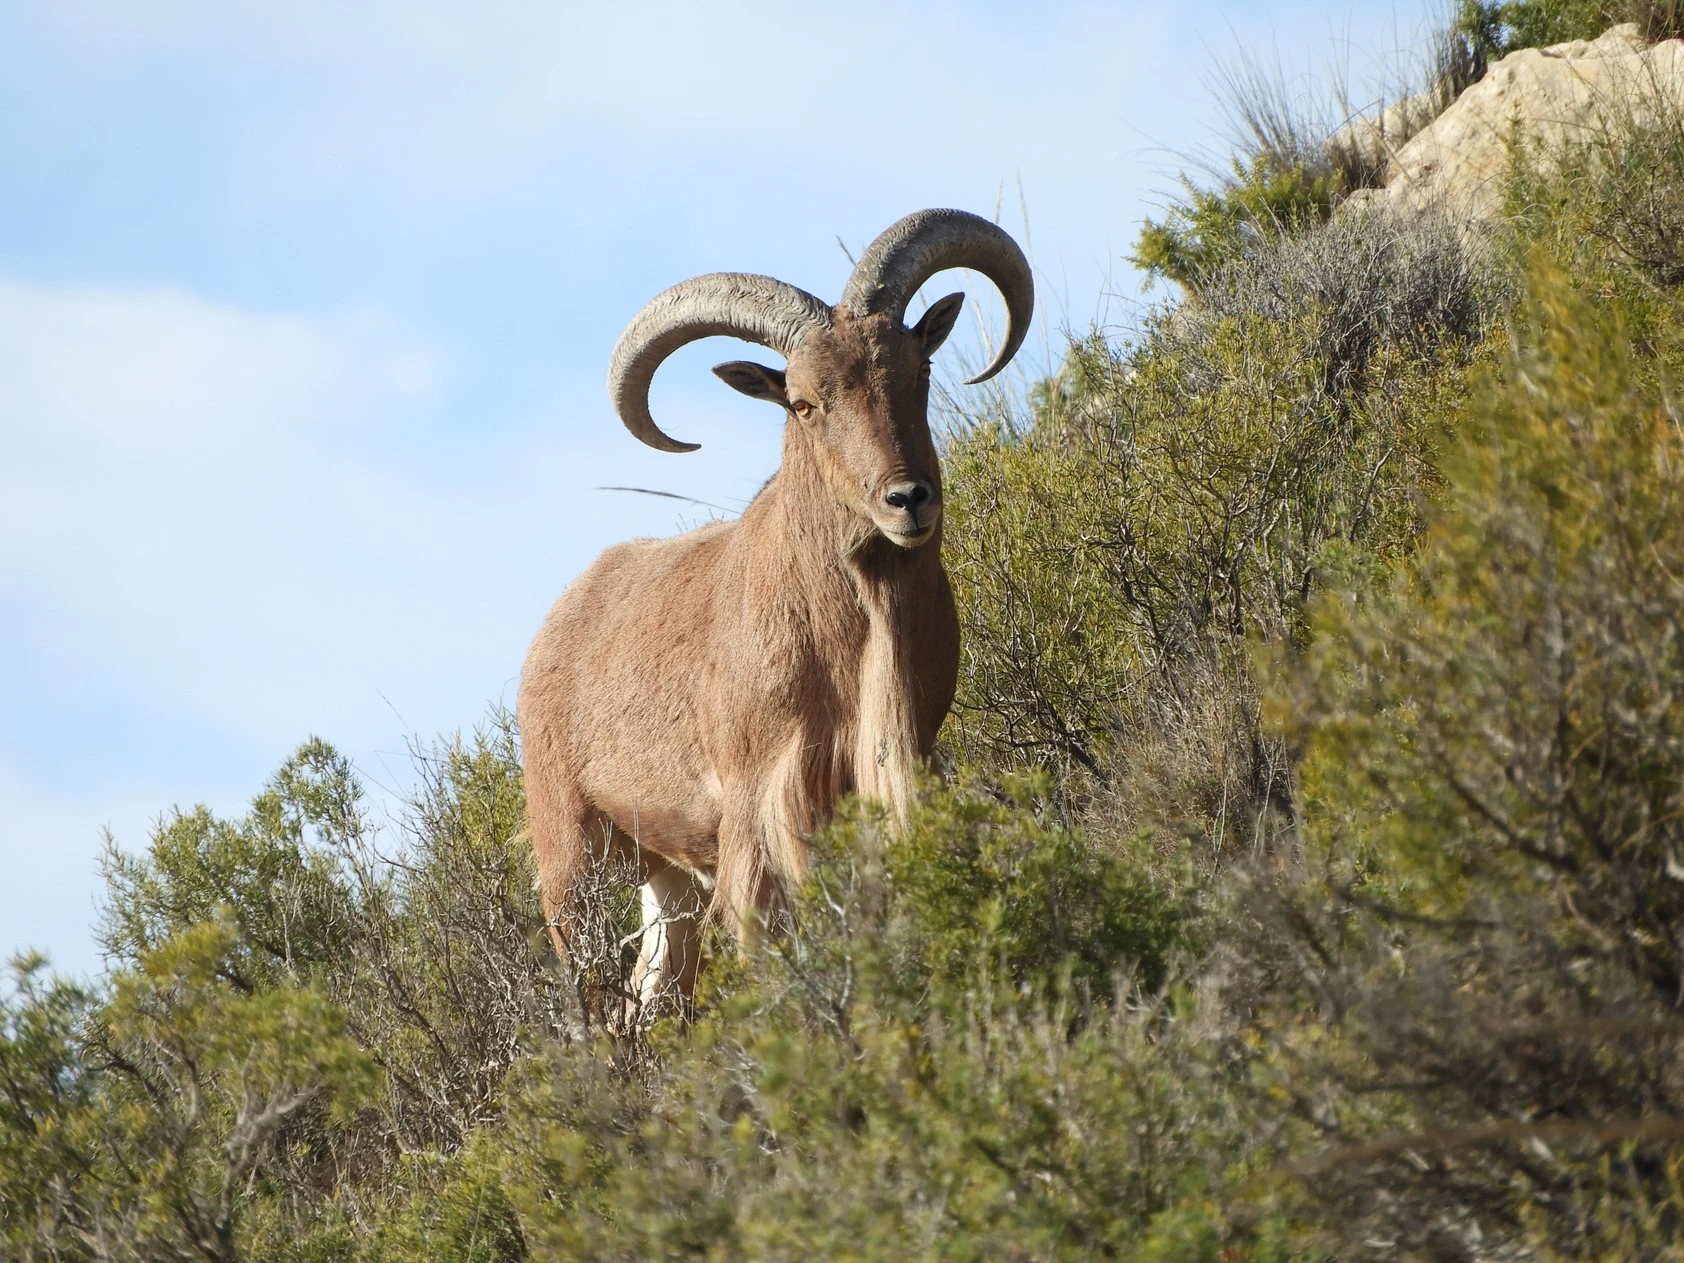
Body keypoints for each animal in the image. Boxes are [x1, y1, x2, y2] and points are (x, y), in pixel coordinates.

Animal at [519, 209, 1033, 1009]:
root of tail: (552, 629)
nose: (908, 498)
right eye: (804, 402)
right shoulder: (762, 805)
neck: (845, 639)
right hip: (572, 852)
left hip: (667, 879)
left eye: (916, 372)